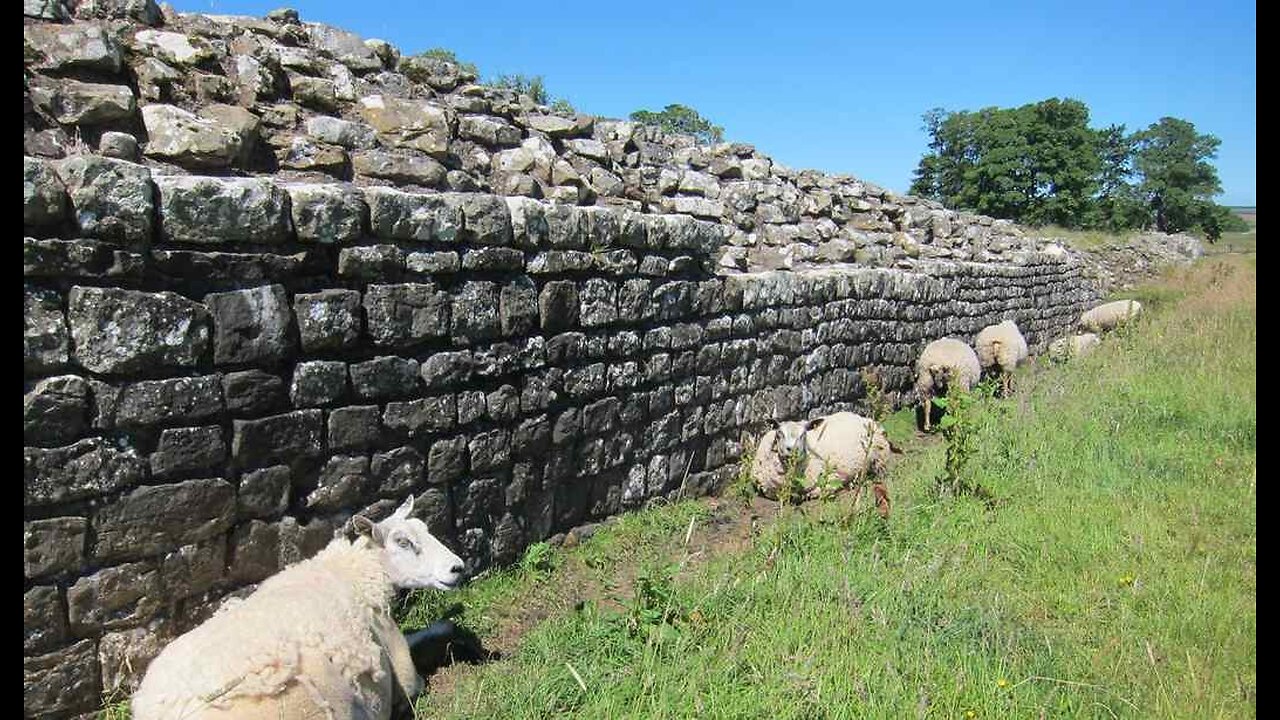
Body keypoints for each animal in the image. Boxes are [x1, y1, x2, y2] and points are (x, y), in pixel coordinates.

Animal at [133, 497, 465, 717]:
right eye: (403, 542)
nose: (457, 567)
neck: (354, 573)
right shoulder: (401, 665)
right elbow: (416, 650)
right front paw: (446, 627)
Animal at [747, 409, 890, 509]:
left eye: (804, 434)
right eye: (779, 433)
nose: (792, 450)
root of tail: (858, 416)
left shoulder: (831, 478)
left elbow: (815, 492)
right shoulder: (765, 487)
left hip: (880, 454)